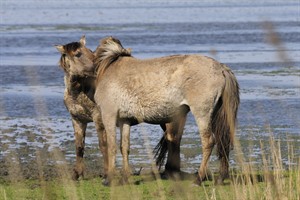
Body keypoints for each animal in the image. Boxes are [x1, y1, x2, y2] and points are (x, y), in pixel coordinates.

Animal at [94, 36, 239, 185]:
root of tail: (221, 68)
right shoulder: (125, 120)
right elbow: (124, 147)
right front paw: (125, 178)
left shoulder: (109, 116)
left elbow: (111, 147)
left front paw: (109, 179)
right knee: (223, 141)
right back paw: (220, 178)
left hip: (202, 114)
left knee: (208, 142)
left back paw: (199, 179)